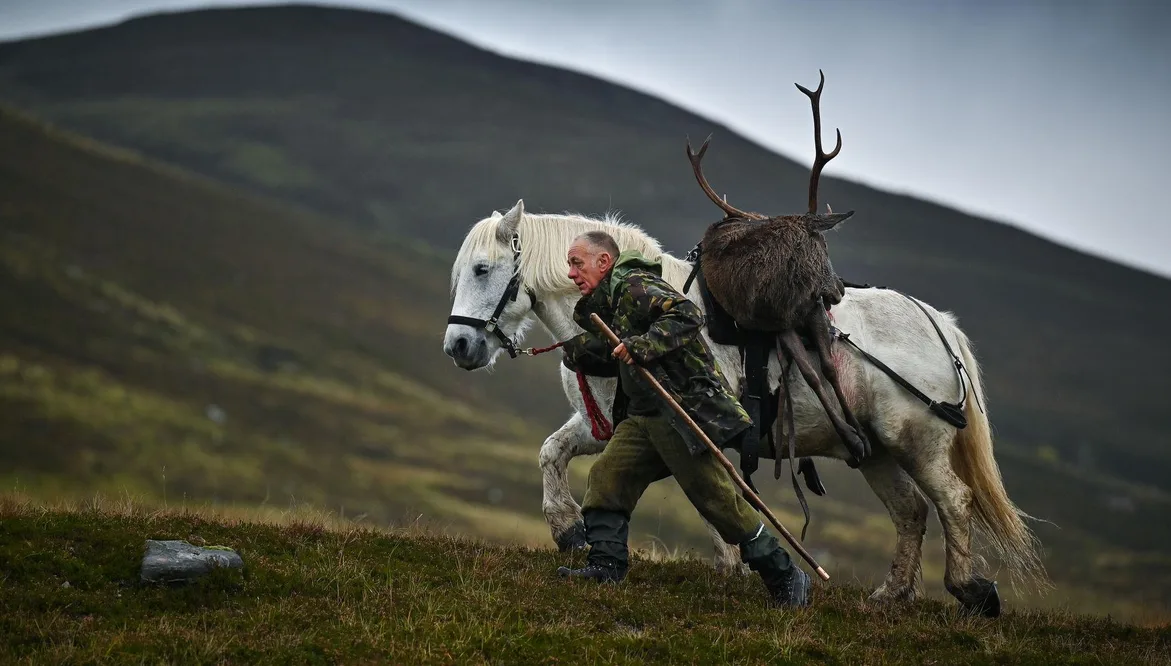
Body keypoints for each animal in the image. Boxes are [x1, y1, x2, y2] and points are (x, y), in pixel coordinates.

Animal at [442, 198, 1048, 615]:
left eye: (482, 270)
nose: (459, 347)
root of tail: (938, 325)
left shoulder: (687, 424)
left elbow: (714, 494)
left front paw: (733, 565)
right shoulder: (607, 425)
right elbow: (551, 452)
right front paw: (568, 529)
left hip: (917, 441)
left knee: (952, 501)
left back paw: (970, 591)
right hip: (873, 450)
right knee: (911, 511)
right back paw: (889, 594)